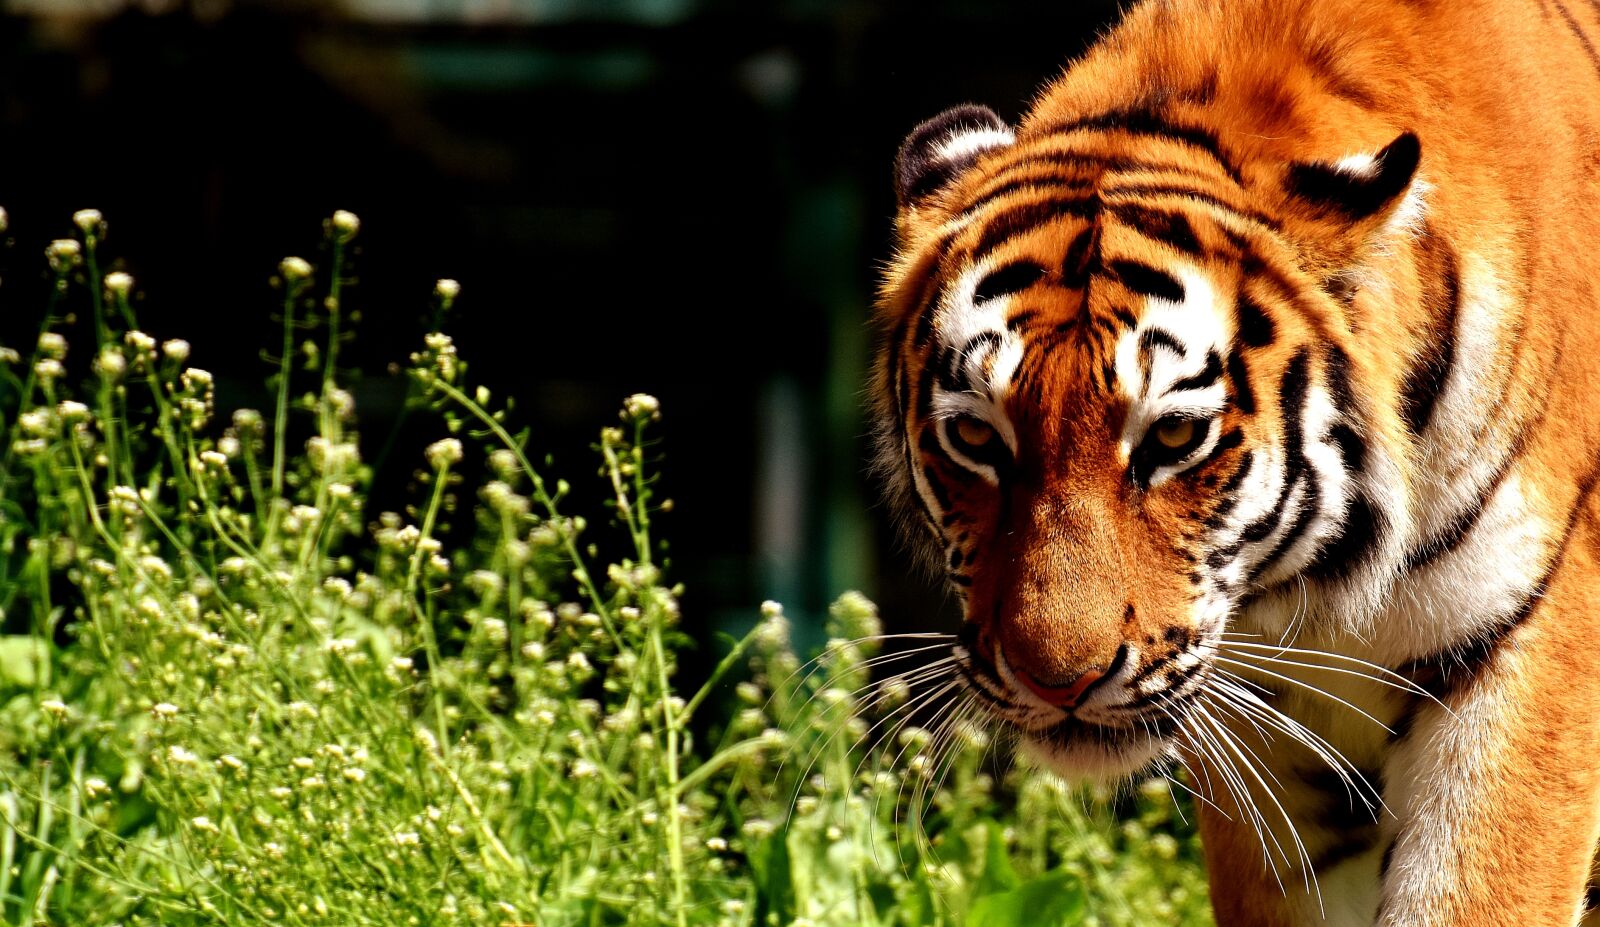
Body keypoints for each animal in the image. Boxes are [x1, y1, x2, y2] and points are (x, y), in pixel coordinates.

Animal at [870, 0, 1600, 923]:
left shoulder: (1525, 652)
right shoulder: (1265, 736)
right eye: (974, 438)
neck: (1320, 591)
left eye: (1175, 438)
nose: (1057, 684)